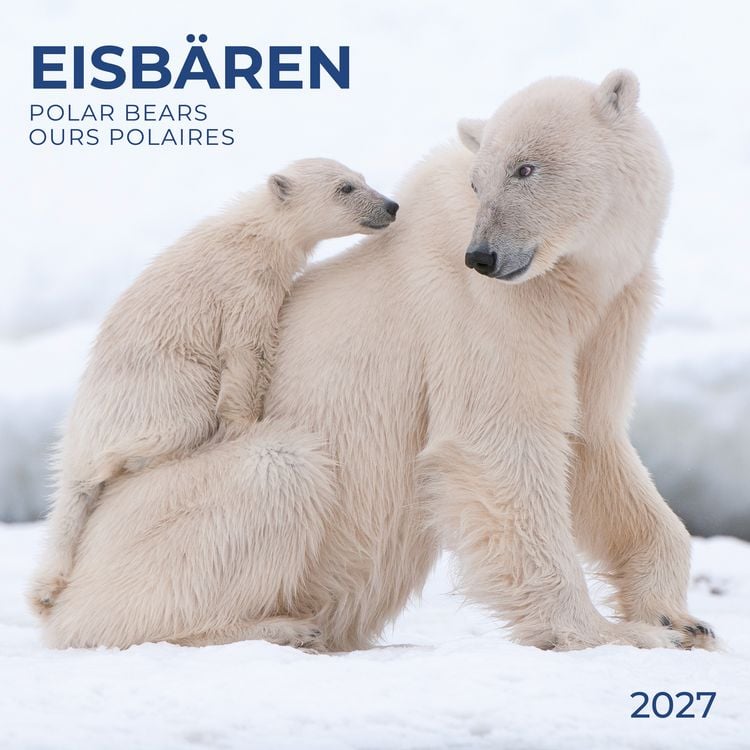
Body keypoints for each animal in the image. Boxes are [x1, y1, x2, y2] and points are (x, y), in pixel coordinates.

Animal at [28, 157, 399, 616]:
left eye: (362, 178)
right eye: (345, 187)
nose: (391, 205)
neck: (255, 232)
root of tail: (78, 434)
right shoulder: (243, 286)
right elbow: (246, 350)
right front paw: (245, 424)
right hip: (157, 390)